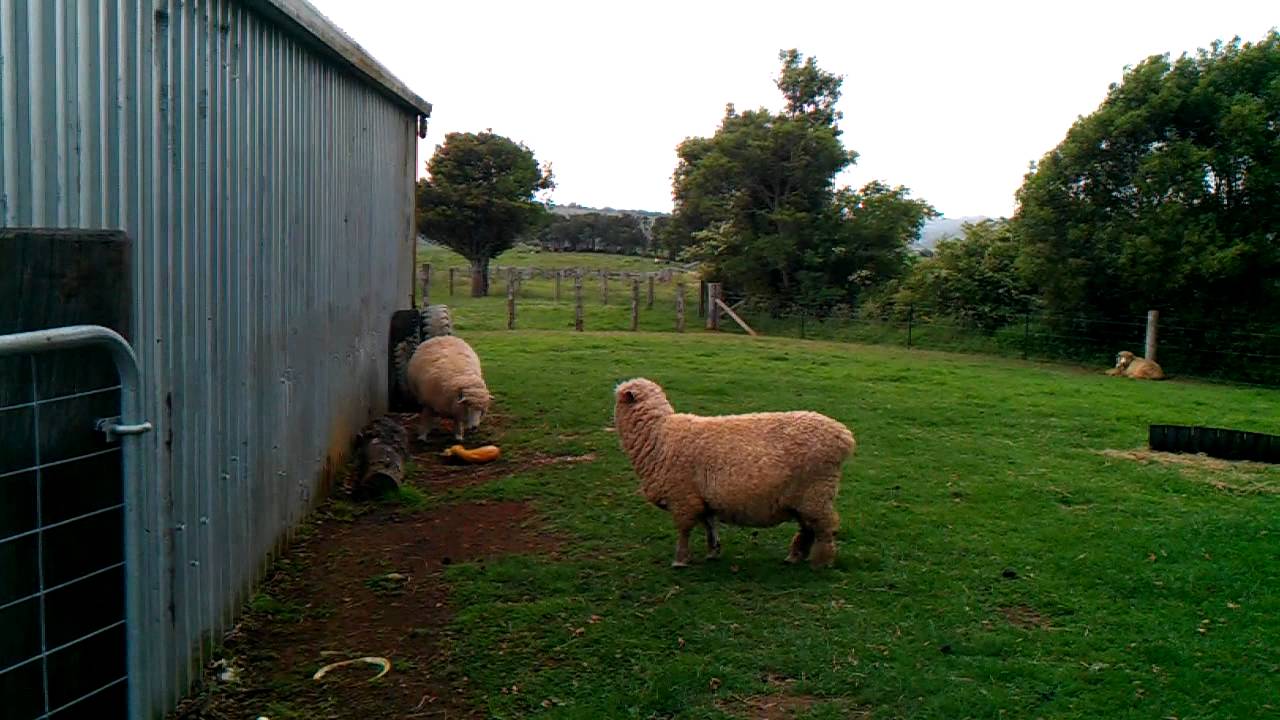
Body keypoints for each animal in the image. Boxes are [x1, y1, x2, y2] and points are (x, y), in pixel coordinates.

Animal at [613, 377, 855, 569]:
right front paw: (713, 551)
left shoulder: (683, 498)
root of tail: (844, 436)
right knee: (808, 528)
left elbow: (684, 530)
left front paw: (680, 560)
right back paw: (795, 556)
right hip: (805, 498)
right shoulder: (702, 499)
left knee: (824, 528)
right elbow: (709, 525)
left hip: (816, 493)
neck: (659, 435)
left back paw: (822, 562)